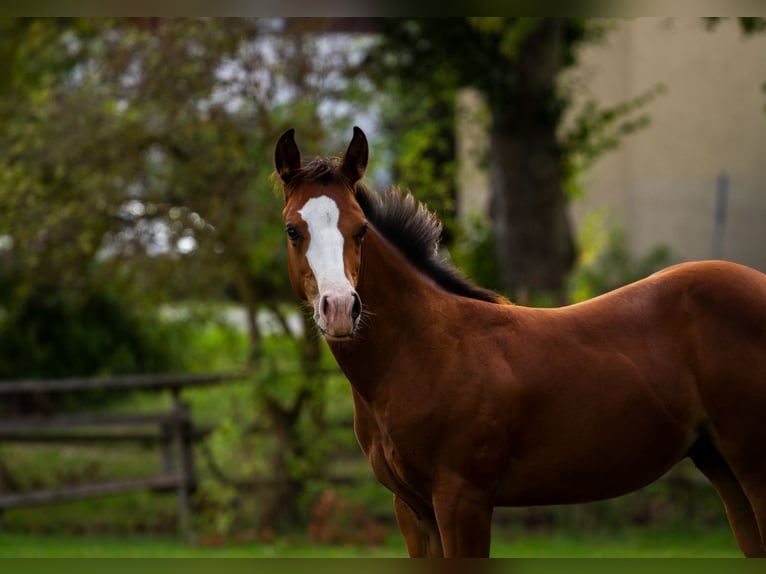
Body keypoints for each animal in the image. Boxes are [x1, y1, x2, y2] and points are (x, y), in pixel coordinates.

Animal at [275, 126, 766, 557]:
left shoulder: (462, 499)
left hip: (752, 464)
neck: (421, 353)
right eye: (292, 230)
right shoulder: (411, 509)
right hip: (720, 463)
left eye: (359, 229)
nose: (340, 309)